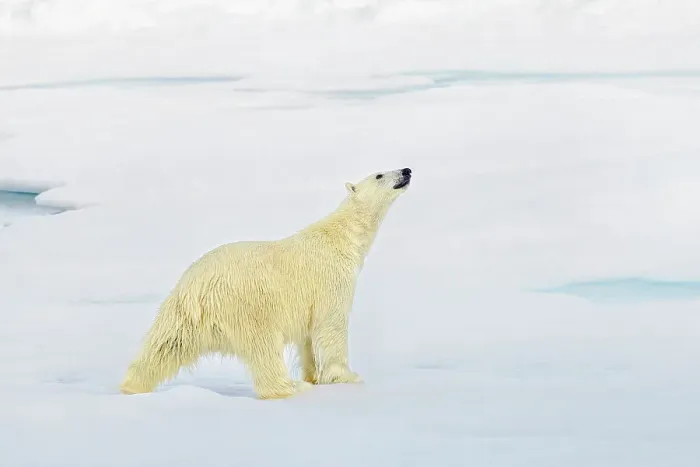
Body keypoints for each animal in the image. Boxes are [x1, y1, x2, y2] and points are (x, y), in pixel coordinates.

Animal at [120, 167, 412, 399]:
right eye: (379, 174)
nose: (406, 170)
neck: (341, 238)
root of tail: (197, 289)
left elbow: (308, 338)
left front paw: (313, 376)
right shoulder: (330, 281)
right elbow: (331, 327)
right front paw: (346, 377)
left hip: (181, 313)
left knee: (164, 346)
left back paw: (131, 386)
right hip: (249, 305)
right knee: (264, 348)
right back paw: (290, 387)